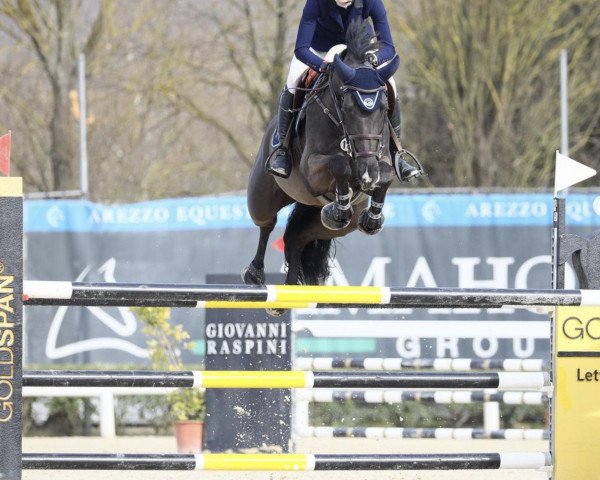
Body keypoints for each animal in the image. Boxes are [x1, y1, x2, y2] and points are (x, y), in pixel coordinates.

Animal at [241, 19, 400, 308]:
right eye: (347, 107)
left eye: (384, 108)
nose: (367, 173)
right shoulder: (312, 168)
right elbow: (340, 165)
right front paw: (343, 201)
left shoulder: (378, 160)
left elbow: (387, 174)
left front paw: (371, 218)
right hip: (262, 196)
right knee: (267, 223)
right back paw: (254, 273)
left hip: (325, 220)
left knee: (296, 237)